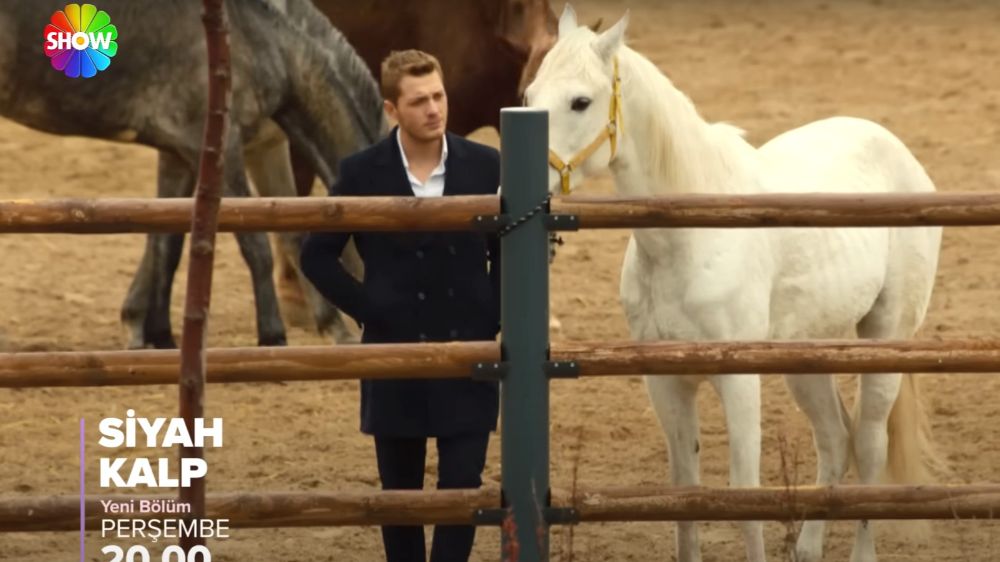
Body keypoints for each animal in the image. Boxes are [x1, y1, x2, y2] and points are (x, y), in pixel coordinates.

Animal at [528, 5, 940, 560]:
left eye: (580, 102)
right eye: (529, 94)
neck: (687, 240)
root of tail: (900, 155)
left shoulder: (740, 380)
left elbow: (745, 494)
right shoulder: (666, 382)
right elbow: (685, 491)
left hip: (885, 340)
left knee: (869, 446)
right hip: (805, 354)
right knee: (835, 440)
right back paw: (807, 548)